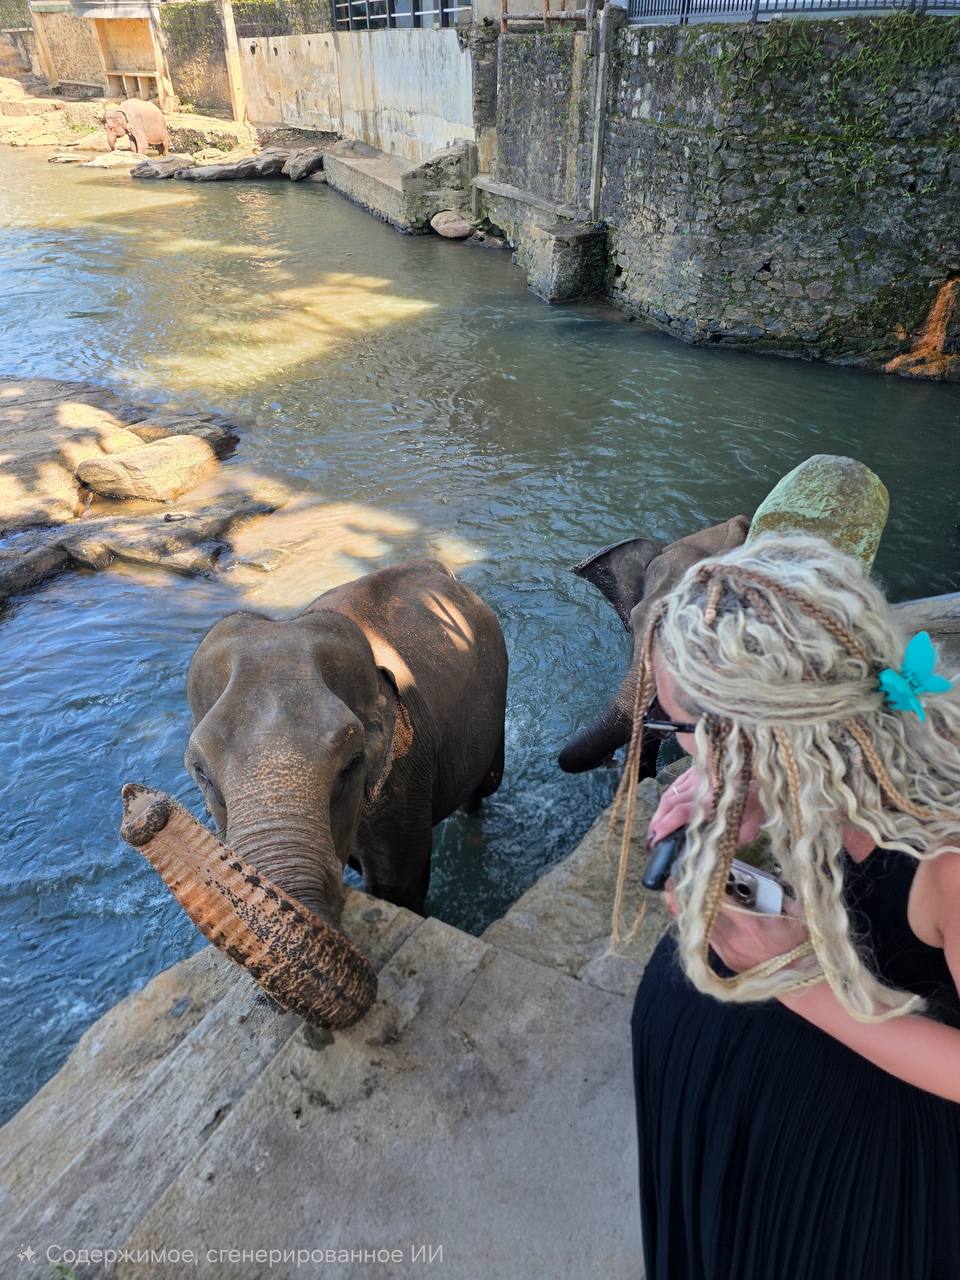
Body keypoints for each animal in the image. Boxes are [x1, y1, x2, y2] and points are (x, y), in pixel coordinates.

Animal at [126, 561, 507, 1028]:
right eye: (201, 772)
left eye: (352, 762)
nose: (142, 809)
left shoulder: (404, 779)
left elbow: (399, 886)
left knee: (484, 788)